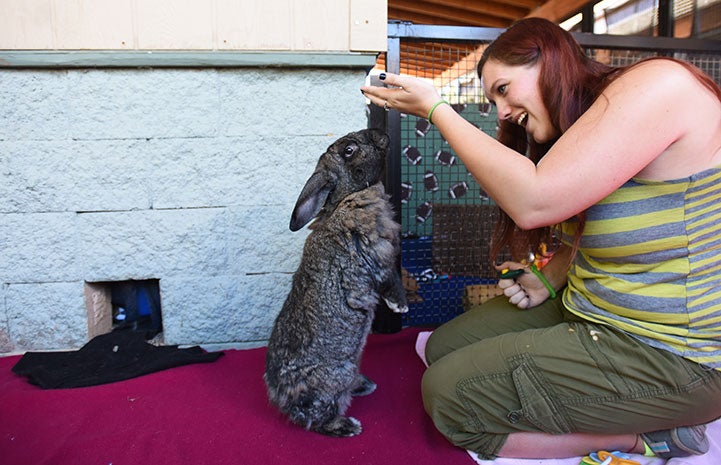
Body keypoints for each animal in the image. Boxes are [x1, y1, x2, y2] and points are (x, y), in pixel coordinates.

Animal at [264, 128, 409, 437]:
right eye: (349, 150)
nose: (381, 133)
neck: (347, 196)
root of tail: (281, 398)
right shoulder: (378, 256)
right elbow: (390, 279)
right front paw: (400, 306)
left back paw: (364, 385)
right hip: (334, 380)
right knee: (315, 420)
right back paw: (348, 426)